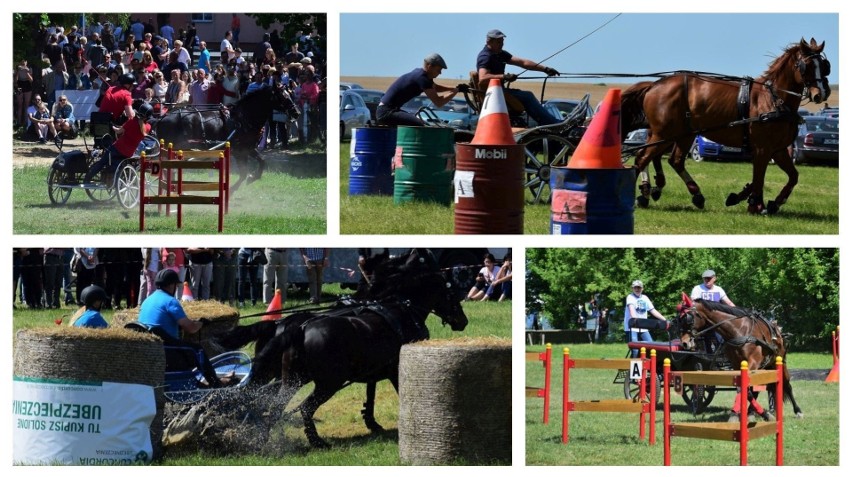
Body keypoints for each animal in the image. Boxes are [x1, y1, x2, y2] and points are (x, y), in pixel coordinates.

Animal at [153, 85, 300, 192]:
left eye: (289, 95)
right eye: (284, 97)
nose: (297, 112)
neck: (243, 118)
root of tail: (161, 119)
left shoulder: (247, 149)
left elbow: (260, 162)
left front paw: (252, 178)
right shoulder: (241, 151)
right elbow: (245, 172)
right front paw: (235, 188)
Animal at [213, 249, 466, 446]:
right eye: (451, 291)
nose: (463, 321)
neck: (398, 307)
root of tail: (297, 326)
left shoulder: (373, 370)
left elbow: (371, 393)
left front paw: (371, 421)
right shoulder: (395, 369)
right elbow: (399, 392)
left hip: (283, 377)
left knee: (266, 404)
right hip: (325, 382)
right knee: (301, 408)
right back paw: (314, 441)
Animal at [620, 38, 832, 213]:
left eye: (824, 65)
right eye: (806, 66)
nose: (821, 93)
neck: (773, 99)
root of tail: (654, 85)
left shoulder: (778, 150)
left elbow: (792, 176)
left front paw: (770, 202)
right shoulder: (762, 149)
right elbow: (759, 177)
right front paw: (755, 204)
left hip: (682, 134)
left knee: (673, 160)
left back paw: (691, 194)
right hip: (664, 134)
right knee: (642, 158)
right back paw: (641, 194)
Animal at [676, 300, 804, 418]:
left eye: (688, 318)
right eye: (680, 320)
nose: (684, 343)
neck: (739, 331)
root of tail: (778, 331)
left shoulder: (753, 363)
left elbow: (746, 388)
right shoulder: (737, 364)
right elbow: (745, 389)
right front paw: (742, 413)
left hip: (779, 361)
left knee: (786, 384)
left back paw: (797, 411)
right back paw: (753, 411)